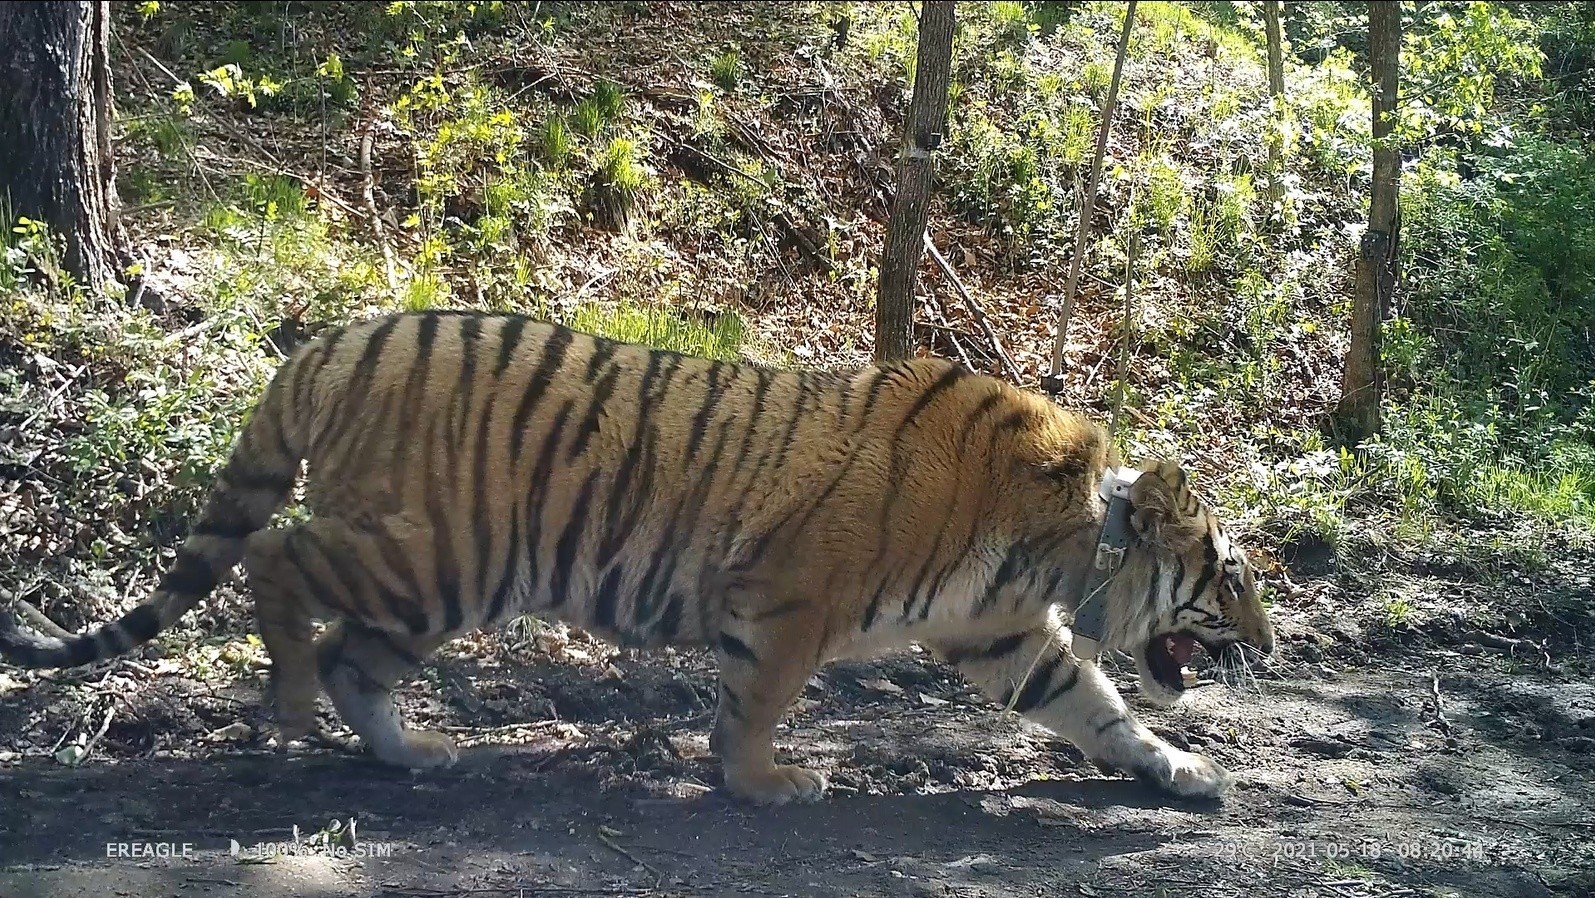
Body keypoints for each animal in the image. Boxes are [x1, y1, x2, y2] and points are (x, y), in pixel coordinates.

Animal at [0, 309, 1275, 805]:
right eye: (1231, 575)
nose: (1268, 645)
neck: (1061, 546)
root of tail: (334, 339)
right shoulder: (793, 599)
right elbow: (759, 700)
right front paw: (763, 782)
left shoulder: (1001, 634)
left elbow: (1096, 705)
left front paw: (1178, 767)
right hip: (423, 553)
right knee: (275, 555)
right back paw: (292, 700)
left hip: (439, 582)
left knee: (357, 650)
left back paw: (409, 750)